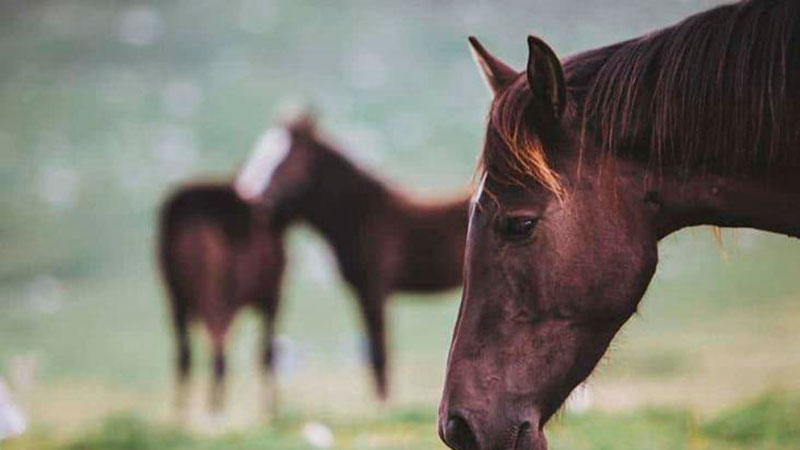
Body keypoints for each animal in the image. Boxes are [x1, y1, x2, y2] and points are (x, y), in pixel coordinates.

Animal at [158, 181, 286, 414]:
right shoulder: (272, 298)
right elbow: (267, 352)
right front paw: (270, 408)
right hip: (220, 297)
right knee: (219, 345)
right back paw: (215, 406)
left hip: (180, 297)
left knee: (187, 351)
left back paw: (185, 410)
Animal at [244, 115, 468, 398]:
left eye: (285, 158)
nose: (254, 199)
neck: (361, 215)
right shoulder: (363, 292)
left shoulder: (374, 289)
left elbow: (380, 355)